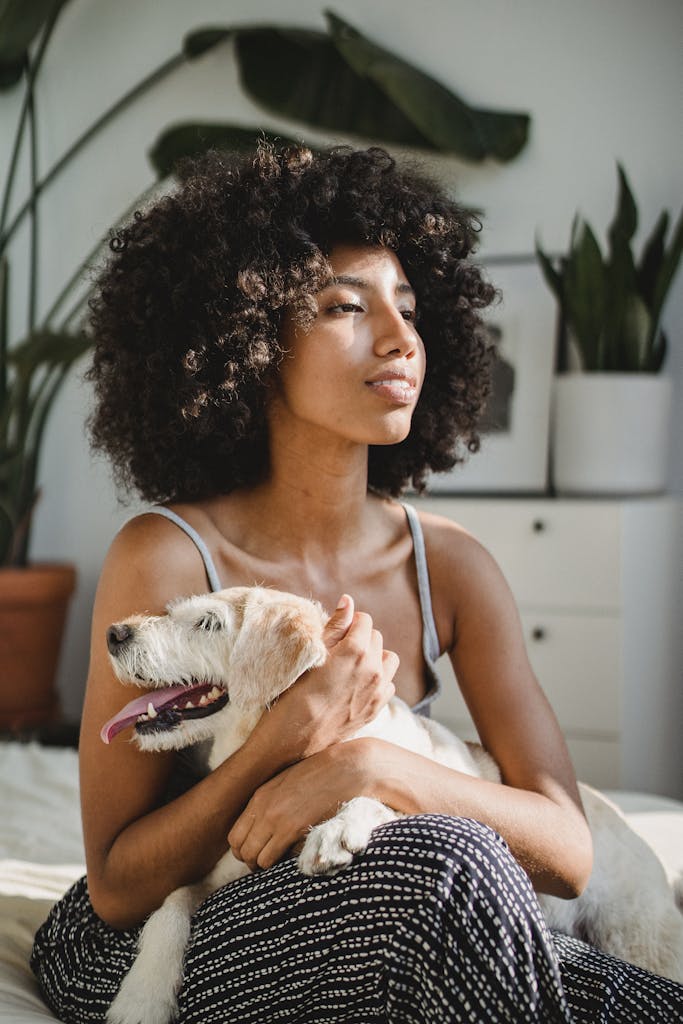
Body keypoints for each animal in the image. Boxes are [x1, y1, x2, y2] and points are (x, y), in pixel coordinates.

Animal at [101, 585, 683, 1024]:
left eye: (208, 624)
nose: (114, 633)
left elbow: (380, 791)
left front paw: (338, 827)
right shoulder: (221, 874)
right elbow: (170, 903)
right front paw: (141, 997)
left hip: (637, 934)